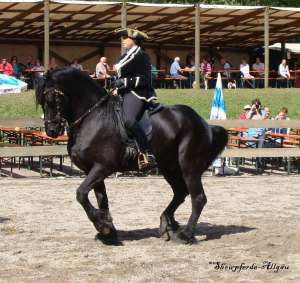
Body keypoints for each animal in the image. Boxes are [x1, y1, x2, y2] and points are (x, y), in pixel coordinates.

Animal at [35, 68, 227, 244]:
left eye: (52, 99)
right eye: (42, 101)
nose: (51, 131)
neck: (93, 117)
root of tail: (203, 123)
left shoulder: (102, 167)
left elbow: (81, 193)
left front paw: (102, 226)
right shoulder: (94, 169)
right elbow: (101, 199)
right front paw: (108, 231)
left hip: (188, 166)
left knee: (198, 198)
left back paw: (185, 234)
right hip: (170, 167)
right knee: (180, 192)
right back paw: (167, 223)